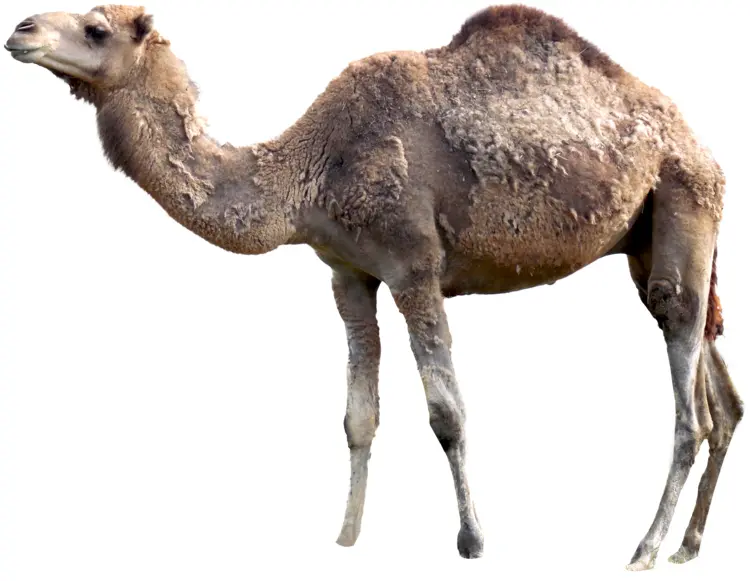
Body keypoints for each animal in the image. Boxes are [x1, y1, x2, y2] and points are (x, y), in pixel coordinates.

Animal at [4, 3, 743, 571]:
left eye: (96, 28)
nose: (21, 29)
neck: (310, 169)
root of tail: (698, 145)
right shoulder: (347, 273)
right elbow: (357, 416)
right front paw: (345, 538)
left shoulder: (414, 265)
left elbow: (447, 414)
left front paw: (473, 540)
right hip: (650, 240)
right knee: (719, 388)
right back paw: (688, 545)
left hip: (683, 198)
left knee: (690, 401)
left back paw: (644, 549)